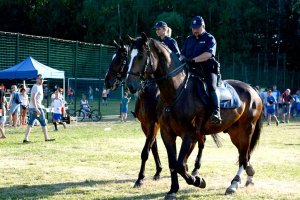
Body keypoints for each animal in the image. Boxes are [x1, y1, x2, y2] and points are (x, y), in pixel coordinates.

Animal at [103, 40, 220, 188]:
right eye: (128, 58)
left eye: (121, 59)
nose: (107, 82)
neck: (149, 93)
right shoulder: (146, 125)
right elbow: (153, 147)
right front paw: (158, 171)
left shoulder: (154, 124)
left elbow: (146, 151)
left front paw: (140, 178)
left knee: (202, 142)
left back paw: (195, 168)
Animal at [125, 32, 264, 198]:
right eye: (128, 56)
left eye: (140, 56)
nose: (129, 85)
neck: (176, 93)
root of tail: (252, 90)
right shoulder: (167, 134)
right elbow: (173, 163)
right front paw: (173, 189)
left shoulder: (189, 135)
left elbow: (180, 164)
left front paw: (198, 181)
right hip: (234, 132)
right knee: (245, 156)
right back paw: (249, 176)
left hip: (246, 130)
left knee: (243, 157)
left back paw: (234, 184)